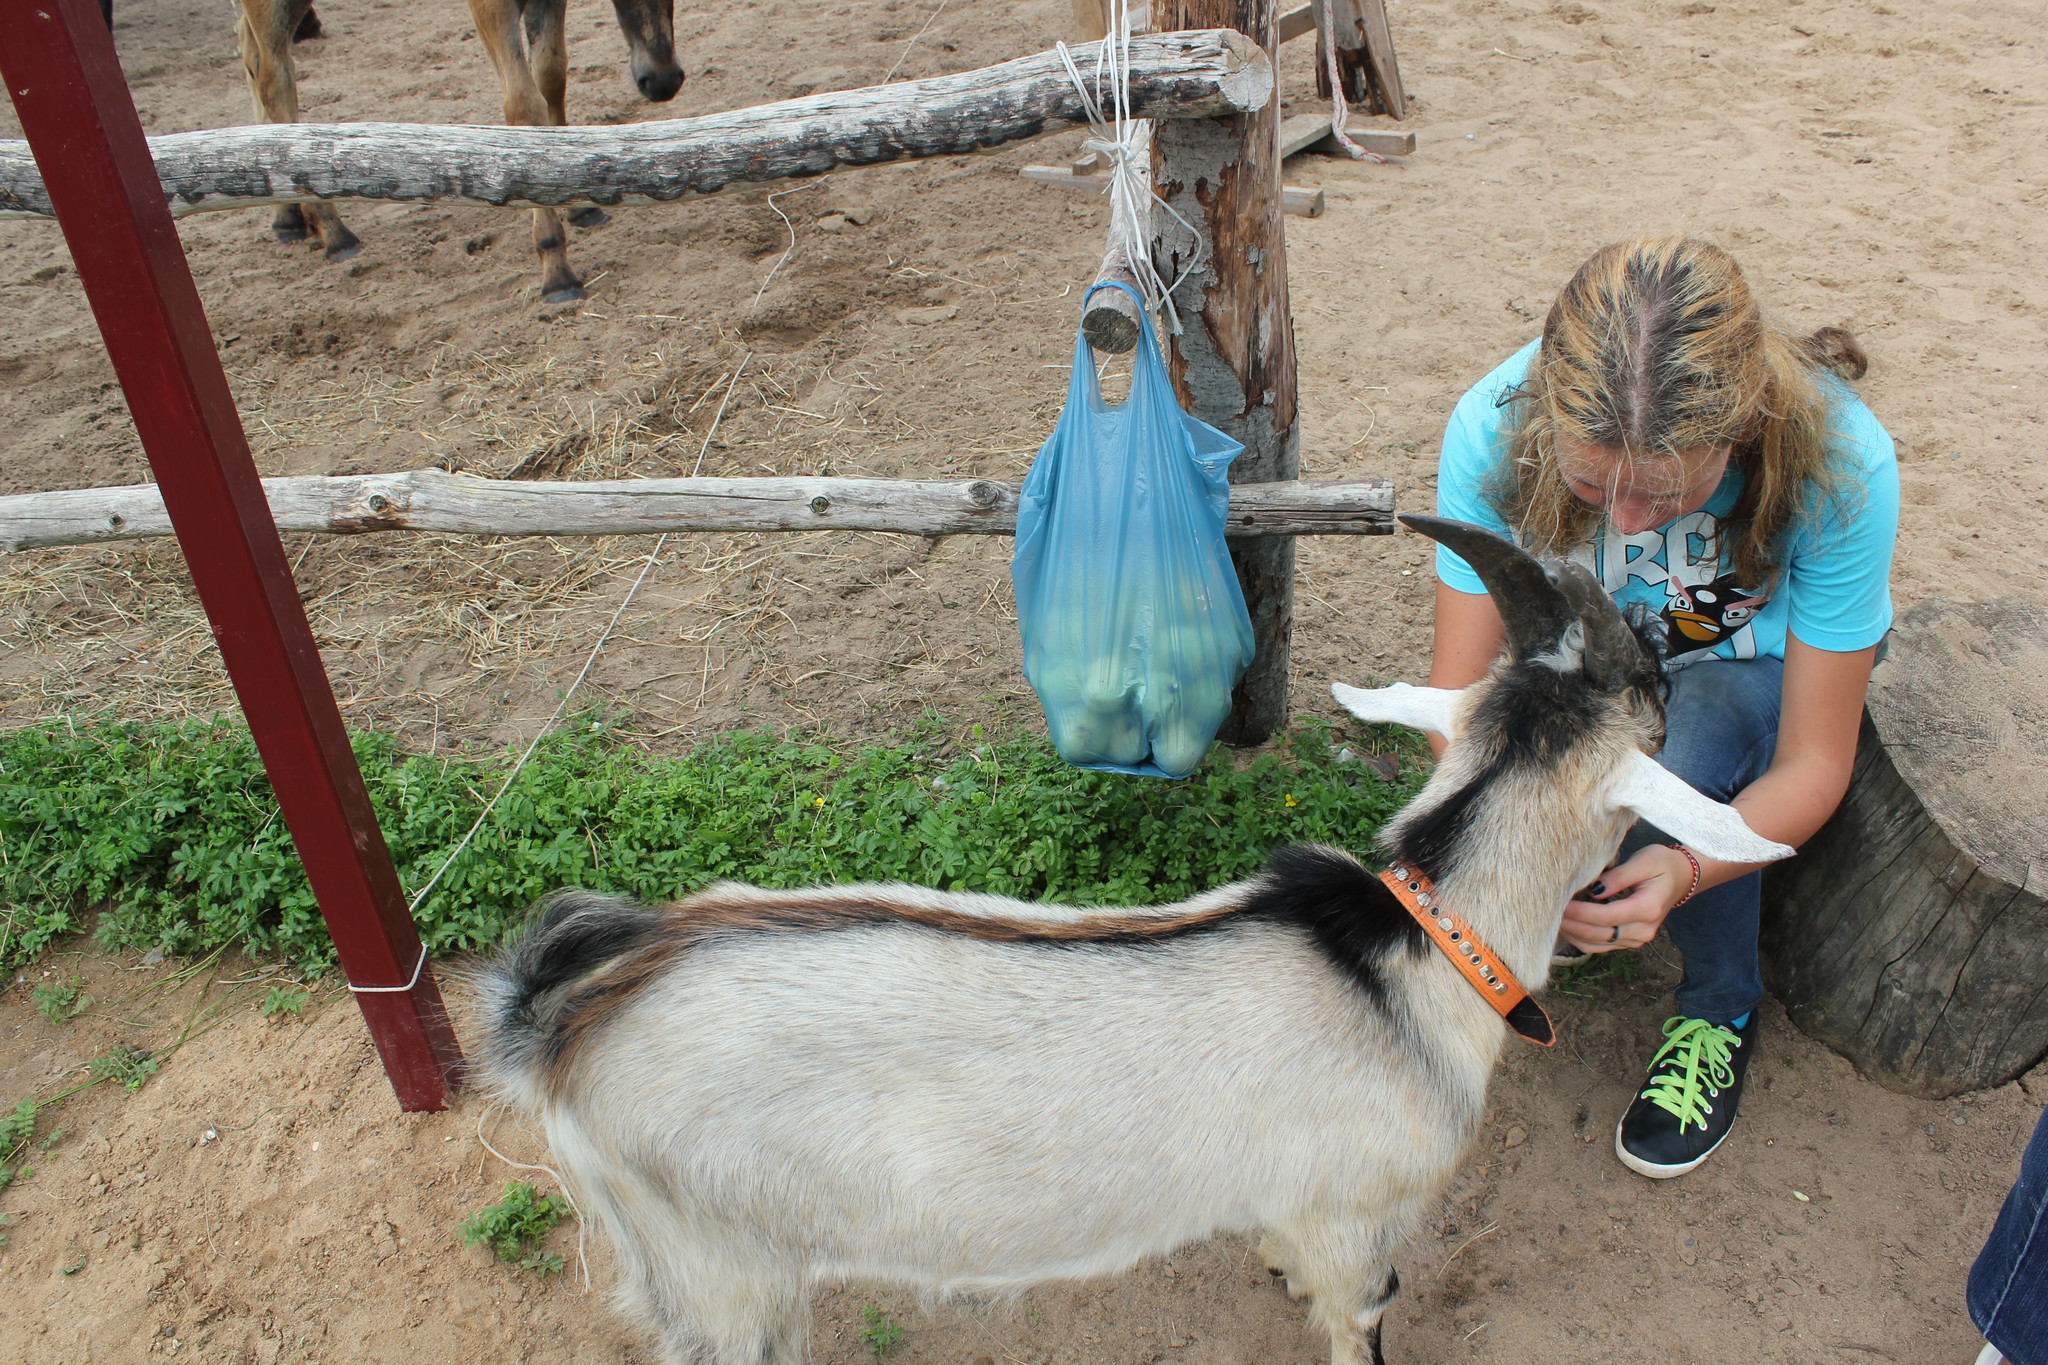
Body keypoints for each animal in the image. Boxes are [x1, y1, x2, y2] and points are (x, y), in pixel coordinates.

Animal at [231, 0, 679, 298]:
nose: (662, 81)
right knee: (273, 74)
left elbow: (551, 75)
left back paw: (287, 214)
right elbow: (524, 102)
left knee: (249, 50)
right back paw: (333, 230)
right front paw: (556, 269)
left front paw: (580, 205)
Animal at [475, 515, 1794, 1365]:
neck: (1410, 958)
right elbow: (1359, 1325)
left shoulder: (1300, 1204)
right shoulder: (1360, 1222)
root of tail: (568, 1013)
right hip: (722, 1278)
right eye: (1654, 709)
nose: (1686, 640)